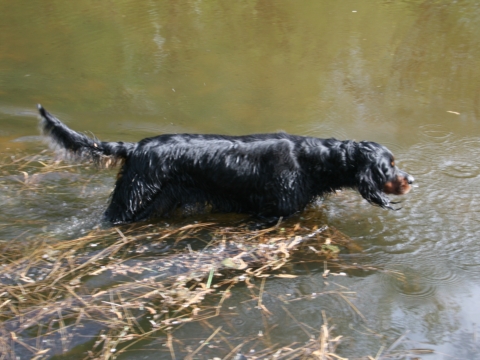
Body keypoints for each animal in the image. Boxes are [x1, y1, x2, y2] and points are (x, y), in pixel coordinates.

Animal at [38, 104, 412, 224]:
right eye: (389, 165)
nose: (412, 179)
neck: (314, 161)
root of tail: (136, 147)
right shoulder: (269, 213)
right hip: (132, 201)